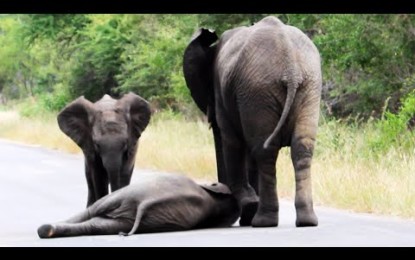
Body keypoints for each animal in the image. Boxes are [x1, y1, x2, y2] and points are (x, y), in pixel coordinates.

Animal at [184, 15, 324, 228]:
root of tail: (291, 67)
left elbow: (231, 143)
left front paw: (248, 211)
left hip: (260, 90)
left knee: (264, 152)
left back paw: (262, 221)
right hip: (306, 87)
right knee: (301, 149)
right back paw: (306, 221)